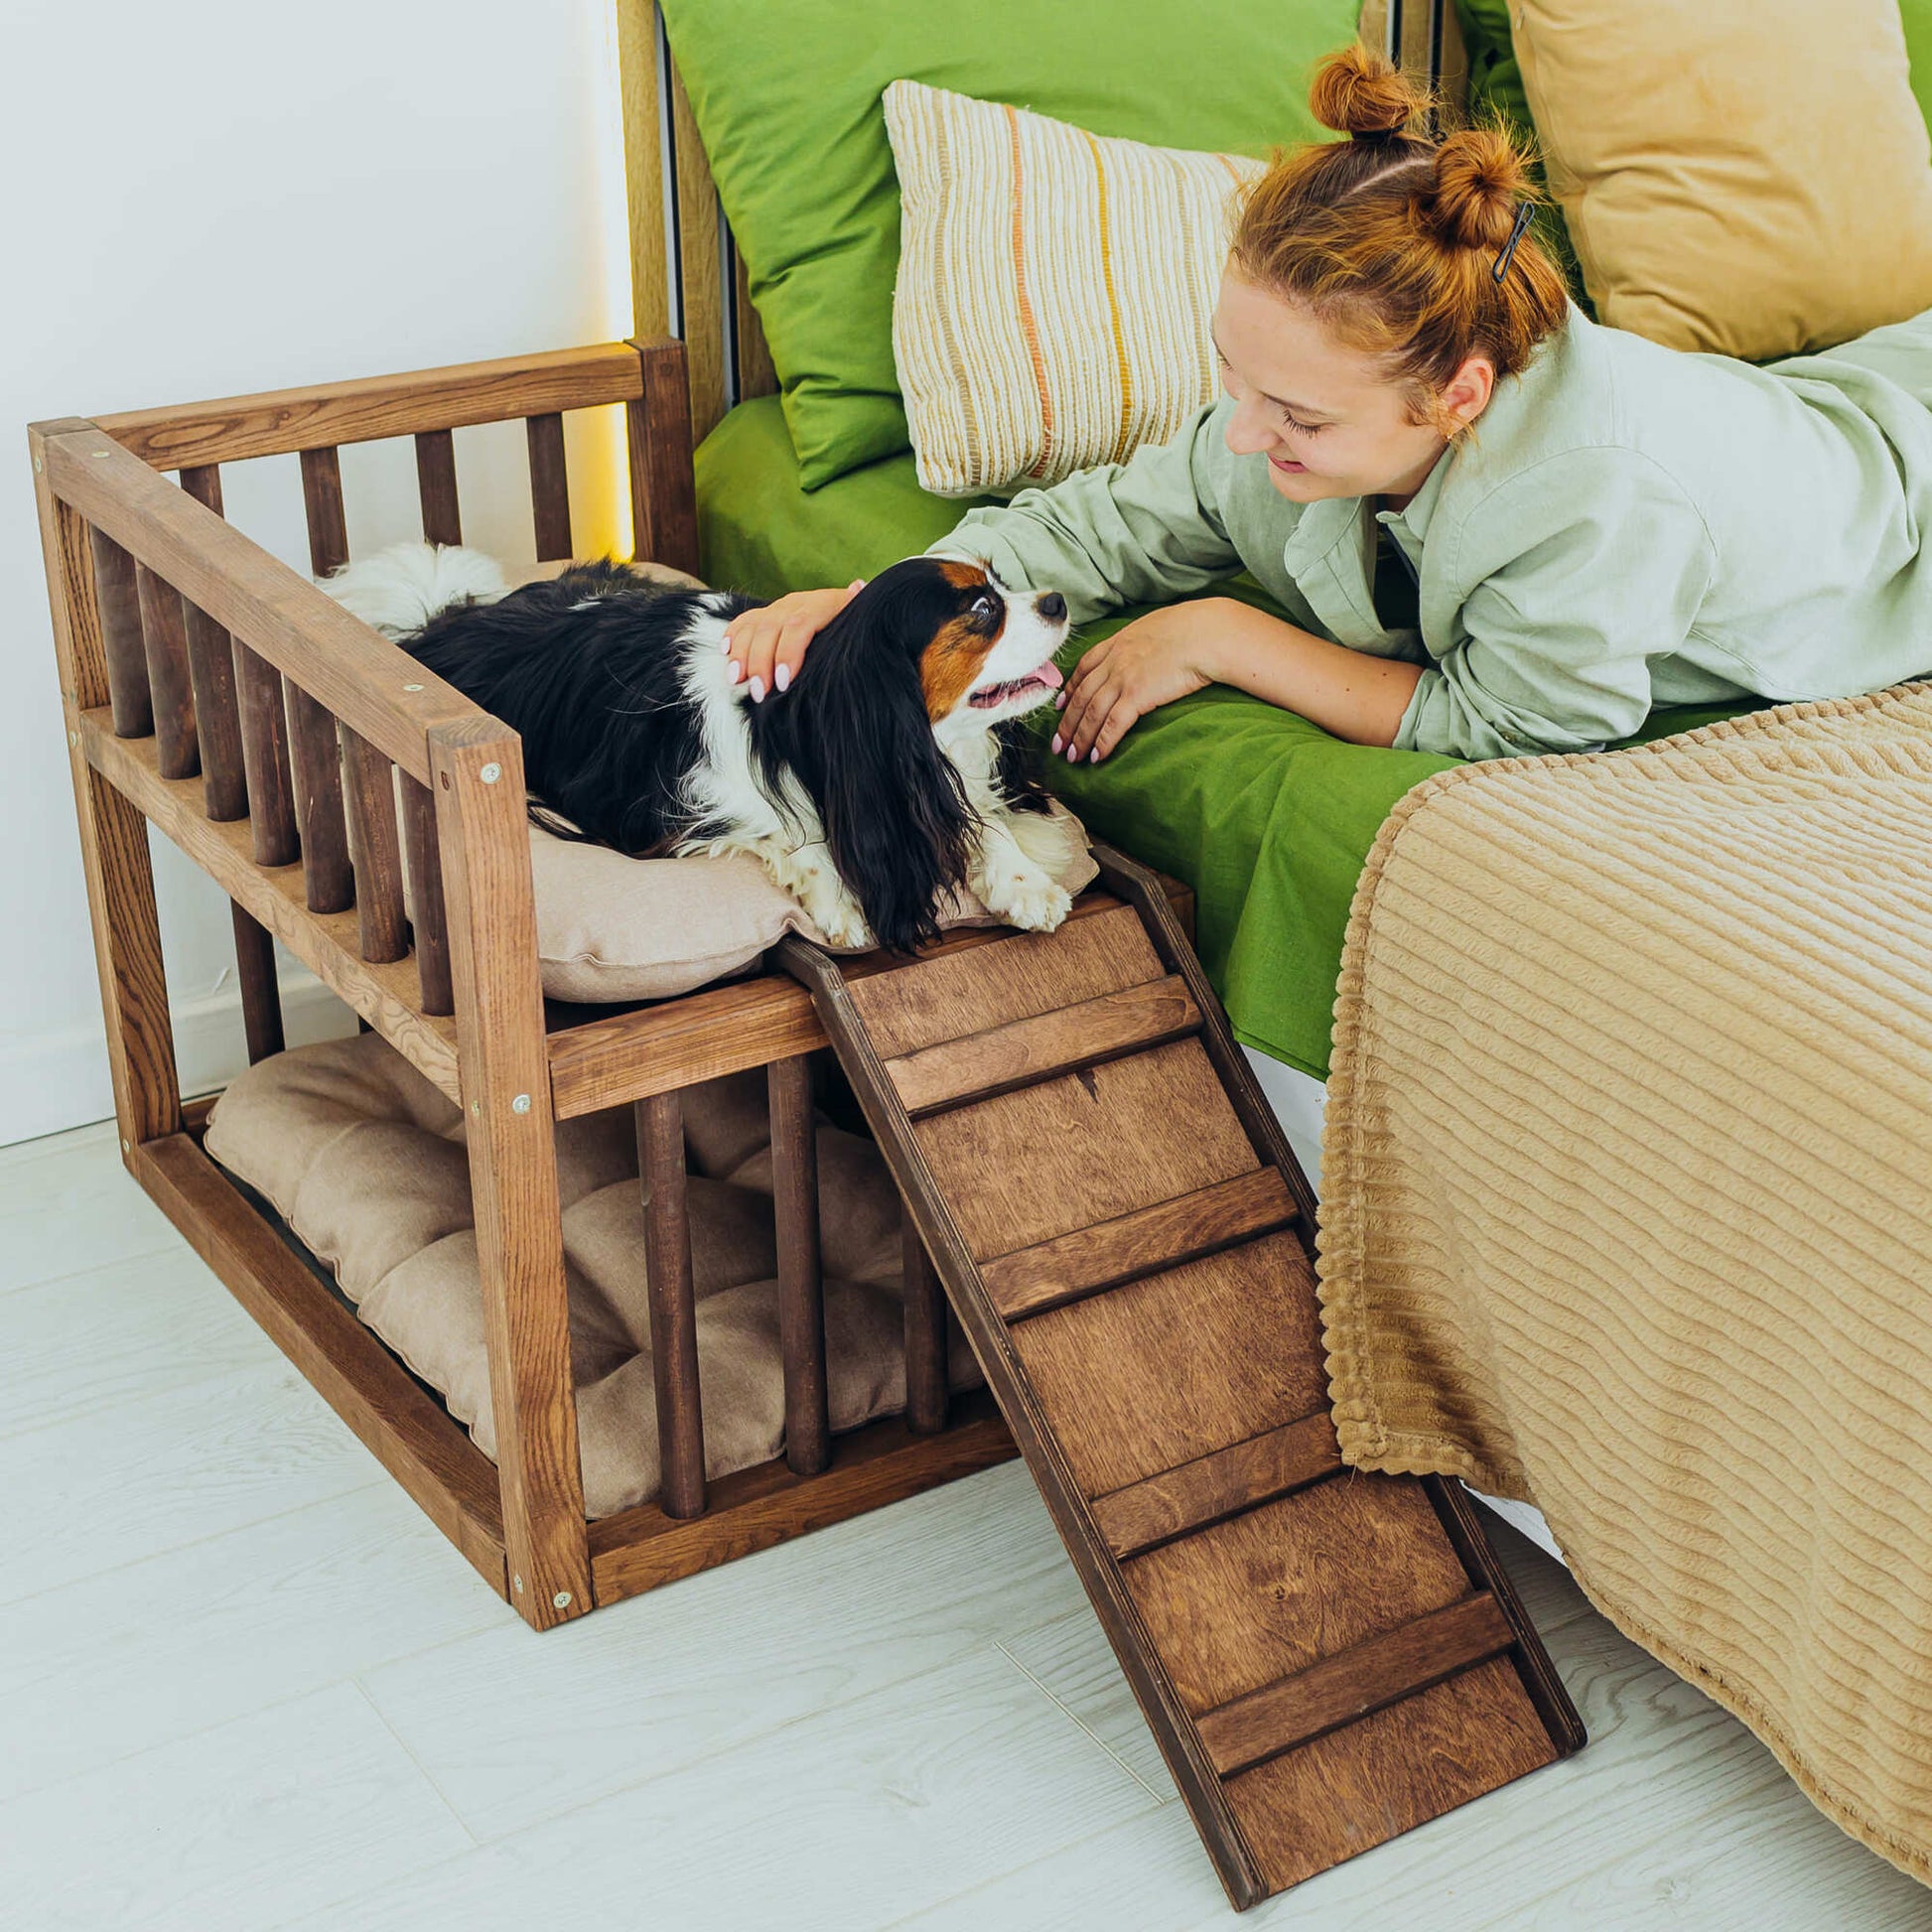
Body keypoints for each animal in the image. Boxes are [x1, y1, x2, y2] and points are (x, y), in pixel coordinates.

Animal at [328, 544, 1089, 950]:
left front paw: (1025, 884)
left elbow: (983, 822)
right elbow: (788, 831)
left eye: (1002, 583)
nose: (1057, 601)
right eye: (983, 611)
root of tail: (442, 622)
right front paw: (840, 901)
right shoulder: (686, 801)